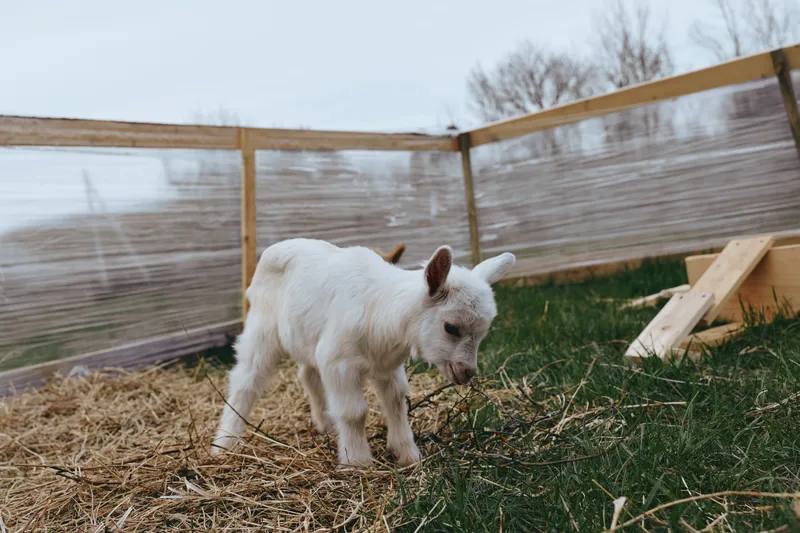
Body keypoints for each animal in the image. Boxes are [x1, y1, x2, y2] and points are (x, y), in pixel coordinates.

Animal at [211, 238, 515, 467]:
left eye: (483, 333)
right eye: (451, 327)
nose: (467, 372)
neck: (380, 311)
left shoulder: (387, 367)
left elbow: (396, 404)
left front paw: (408, 456)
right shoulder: (339, 362)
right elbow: (354, 412)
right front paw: (357, 462)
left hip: (308, 338)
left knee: (308, 375)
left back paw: (325, 425)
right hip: (262, 327)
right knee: (246, 381)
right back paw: (225, 442)